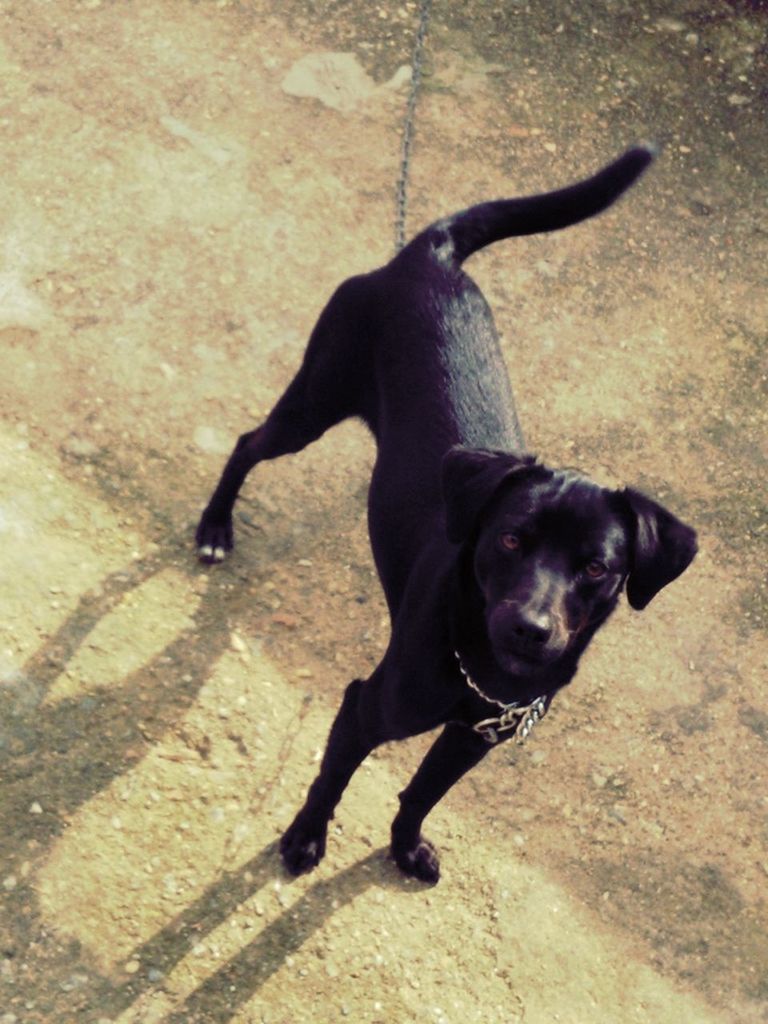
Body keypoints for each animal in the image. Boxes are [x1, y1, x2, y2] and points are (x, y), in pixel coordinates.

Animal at [196, 148, 696, 884]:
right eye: (511, 539)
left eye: (597, 569)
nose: (530, 629)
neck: (484, 670)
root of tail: (429, 254)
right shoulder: (365, 707)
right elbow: (329, 781)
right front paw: (305, 839)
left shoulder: (473, 738)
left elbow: (423, 793)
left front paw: (405, 846)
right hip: (313, 401)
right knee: (246, 444)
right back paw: (214, 528)